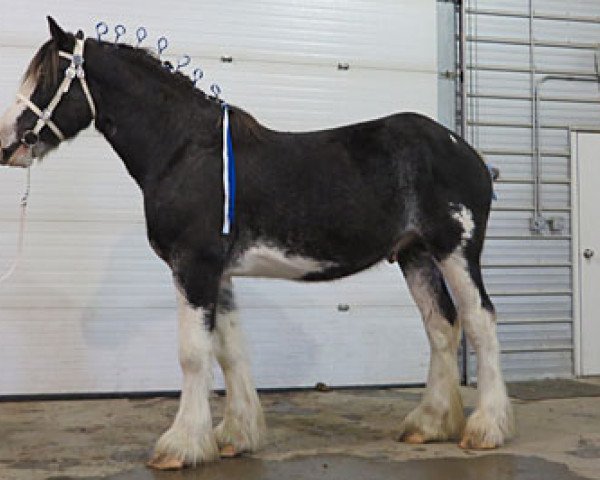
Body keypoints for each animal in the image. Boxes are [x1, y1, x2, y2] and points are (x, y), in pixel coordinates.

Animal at [1, 17, 516, 468]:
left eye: (48, 79)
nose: (8, 144)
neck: (184, 150)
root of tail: (466, 151)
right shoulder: (219, 273)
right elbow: (229, 350)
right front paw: (235, 436)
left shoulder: (195, 266)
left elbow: (193, 354)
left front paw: (181, 445)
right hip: (414, 254)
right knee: (440, 325)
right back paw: (429, 424)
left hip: (456, 250)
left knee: (479, 321)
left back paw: (485, 429)